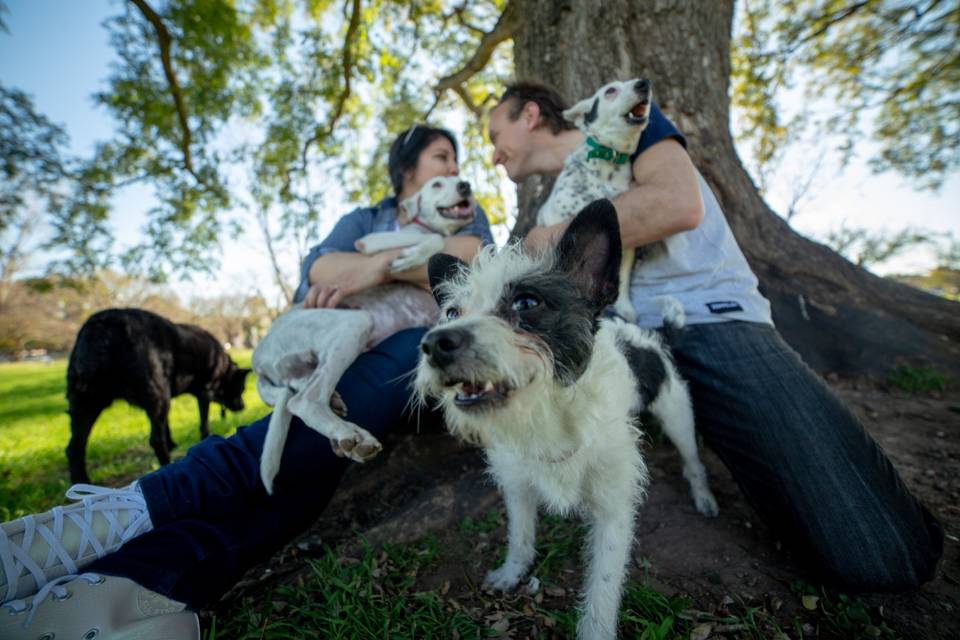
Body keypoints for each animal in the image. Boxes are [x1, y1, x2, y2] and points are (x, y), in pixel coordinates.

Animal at [255, 175, 476, 496]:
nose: (465, 186)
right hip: (353, 324)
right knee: (303, 401)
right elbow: (433, 240)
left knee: (304, 390)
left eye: (458, 179)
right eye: (436, 184)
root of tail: (257, 357)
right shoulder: (375, 241)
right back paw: (350, 434)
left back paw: (339, 418)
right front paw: (409, 257)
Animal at [416, 201, 716, 640]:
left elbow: (602, 590)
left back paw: (704, 497)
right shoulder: (518, 487)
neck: (547, 420)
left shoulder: (613, 511)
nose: (435, 344)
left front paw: (595, 629)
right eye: (452, 312)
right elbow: (520, 537)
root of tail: (649, 335)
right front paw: (512, 572)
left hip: (677, 415)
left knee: (693, 461)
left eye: (526, 303)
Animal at [540, 77, 652, 322]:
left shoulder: (626, 244)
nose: (643, 83)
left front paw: (624, 307)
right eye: (610, 90)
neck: (610, 159)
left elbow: (623, 276)